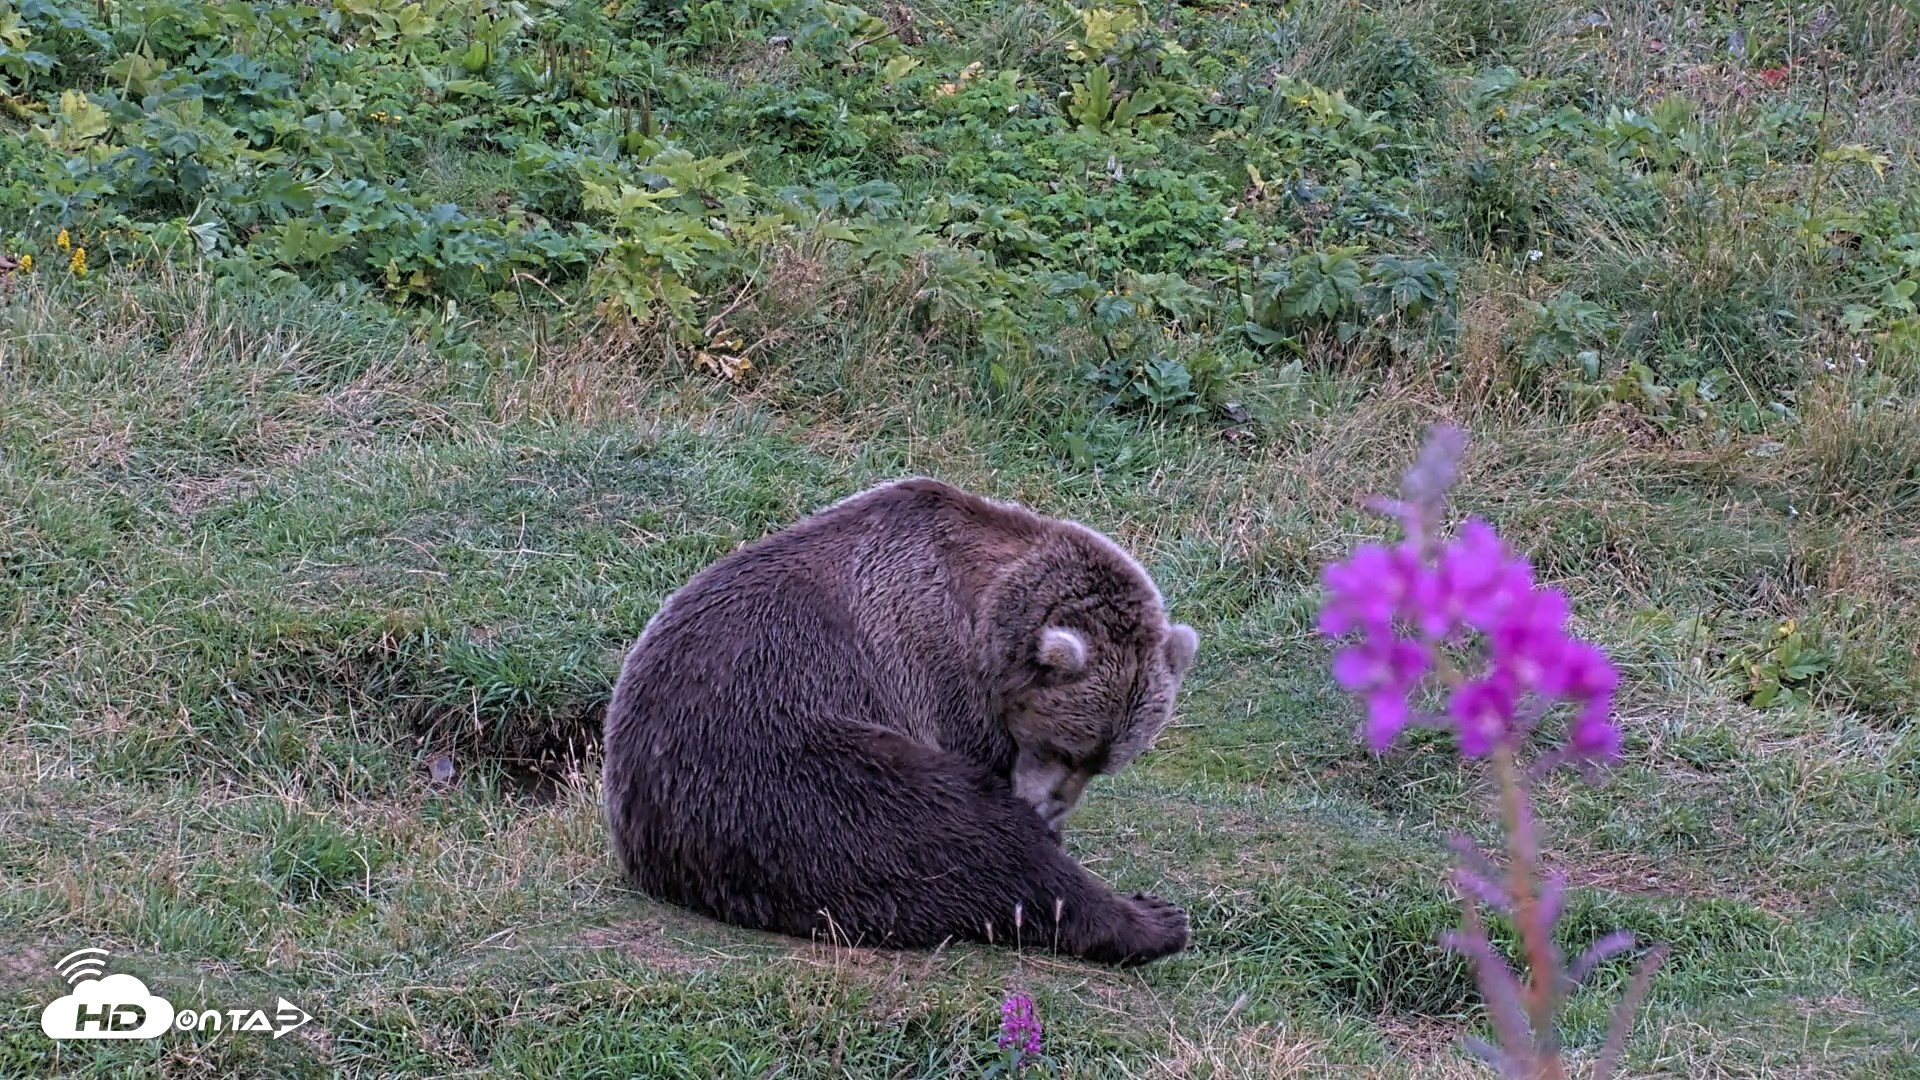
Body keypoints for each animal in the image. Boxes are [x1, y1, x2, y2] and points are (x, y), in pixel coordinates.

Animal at [601, 477, 1199, 965]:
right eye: (1063, 747)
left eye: (1102, 764)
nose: (1047, 810)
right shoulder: (936, 674)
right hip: (788, 770)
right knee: (958, 831)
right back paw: (1153, 920)